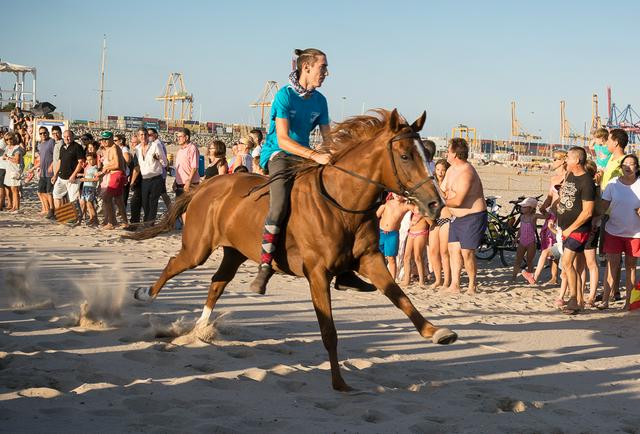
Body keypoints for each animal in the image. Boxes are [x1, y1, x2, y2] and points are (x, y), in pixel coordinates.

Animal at [130, 108, 458, 390]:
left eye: (429, 156)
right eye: (405, 156)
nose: (436, 204)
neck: (342, 203)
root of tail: (207, 186)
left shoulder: (370, 260)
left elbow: (401, 297)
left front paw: (435, 332)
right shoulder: (317, 273)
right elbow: (329, 331)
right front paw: (339, 382)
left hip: (235, 252)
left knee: (216, 283)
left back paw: (200, 329)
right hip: (198, 248)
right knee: (175, 264)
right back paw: (145, 295)